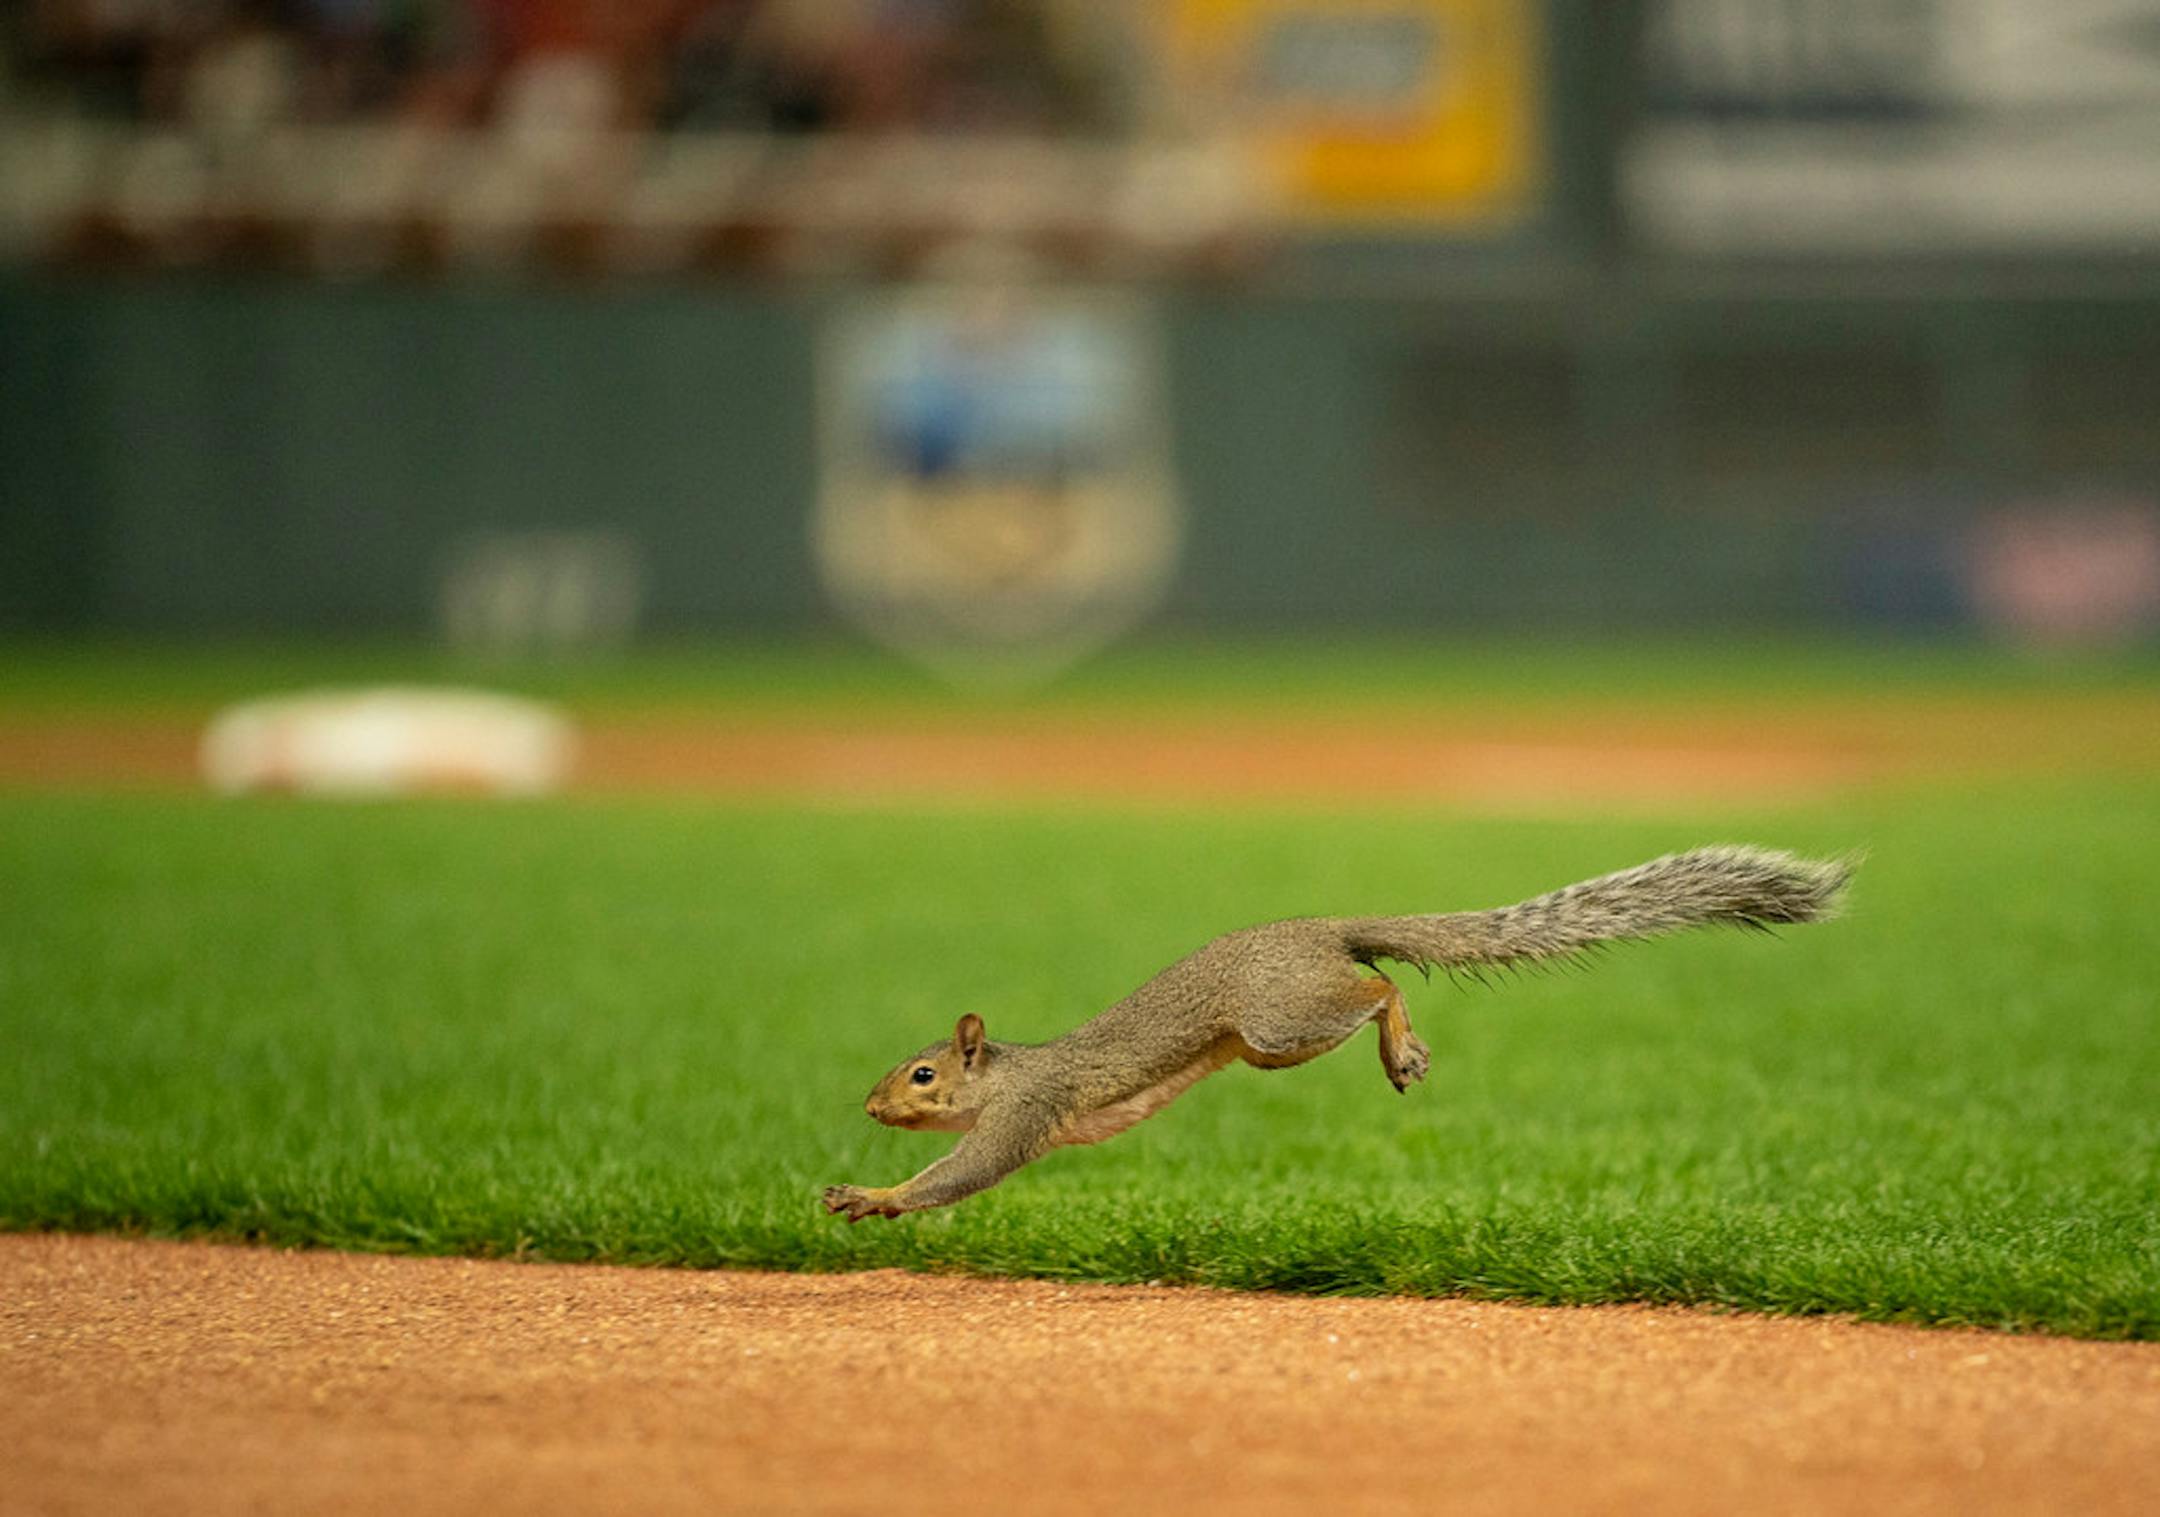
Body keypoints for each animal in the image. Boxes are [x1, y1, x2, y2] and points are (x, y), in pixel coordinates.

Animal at [822, 844, 1852, 1222]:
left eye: (922, 1074)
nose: (867, 1104)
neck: (998, 1076)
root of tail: (1323, 927)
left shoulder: (1026, 1110)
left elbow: (962, 1171)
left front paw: (872, 1195)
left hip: (1275, 1023)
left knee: (1379, 982)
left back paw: (1401, 1039)